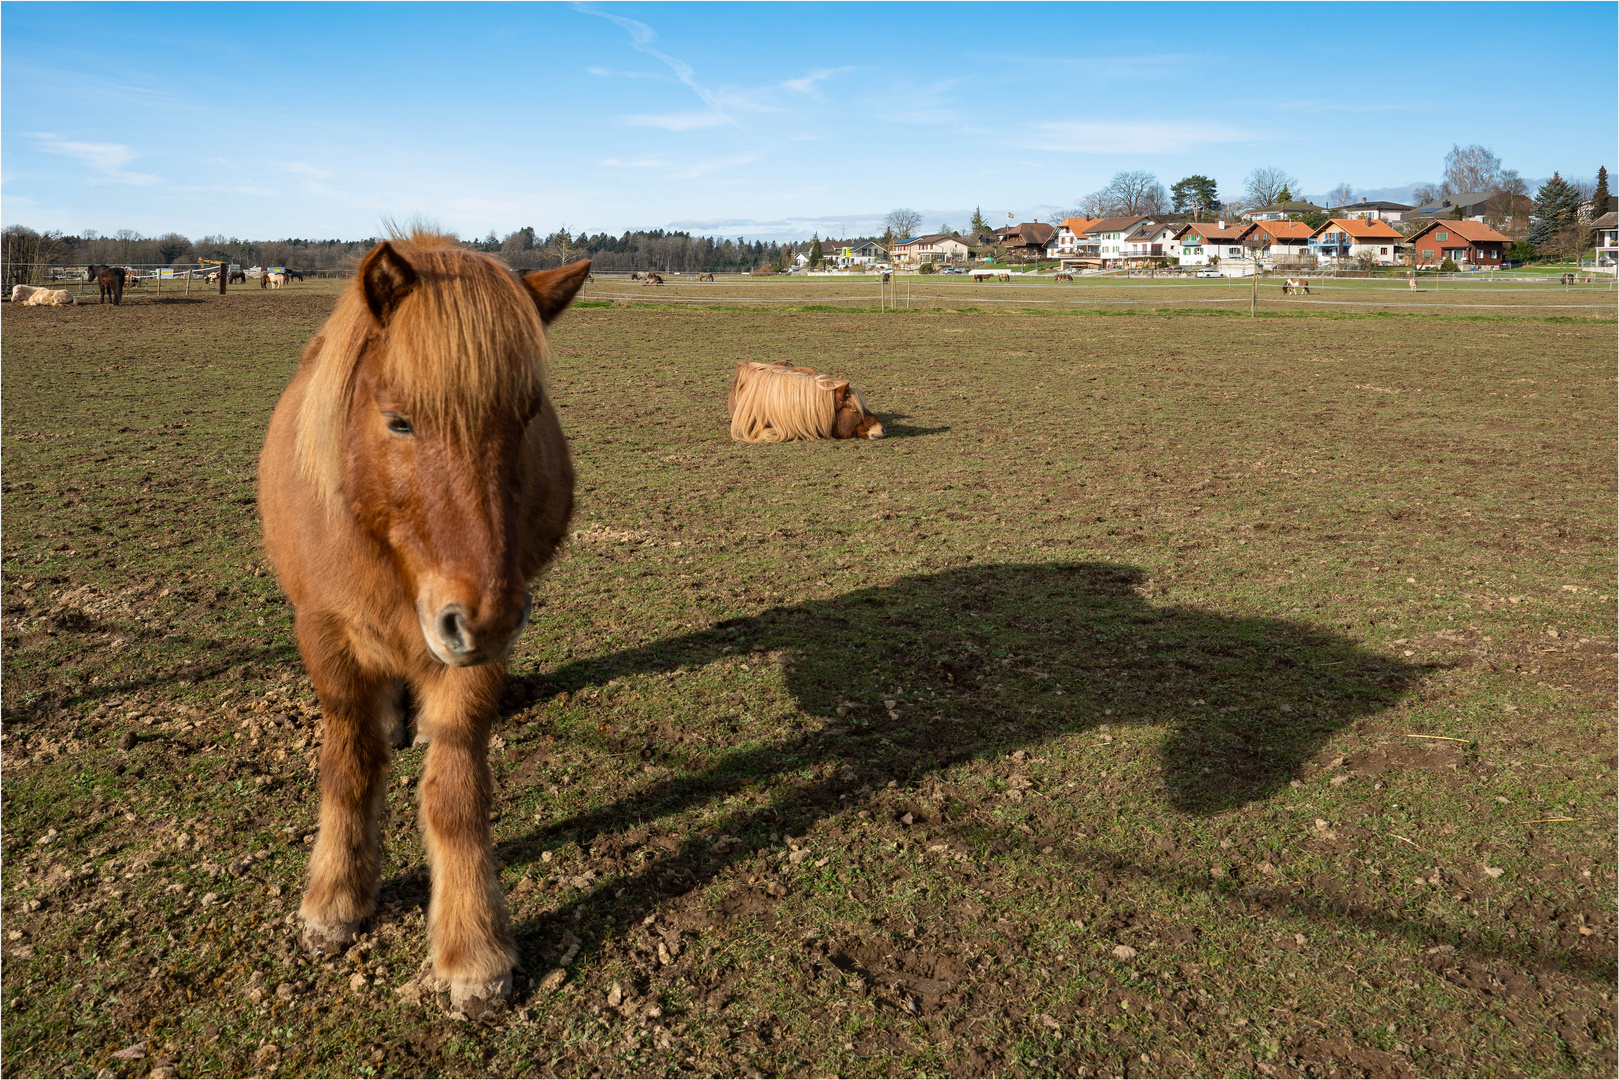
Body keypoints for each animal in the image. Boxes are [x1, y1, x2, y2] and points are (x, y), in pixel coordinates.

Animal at [262, 233, 592, 1016]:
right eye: (399, 421)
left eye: (524, 417)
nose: (485, 617)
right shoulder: (326, 636)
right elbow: (347, 766)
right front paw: (335, 899)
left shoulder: (473, 659)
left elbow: (455, 797)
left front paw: (473, 949)